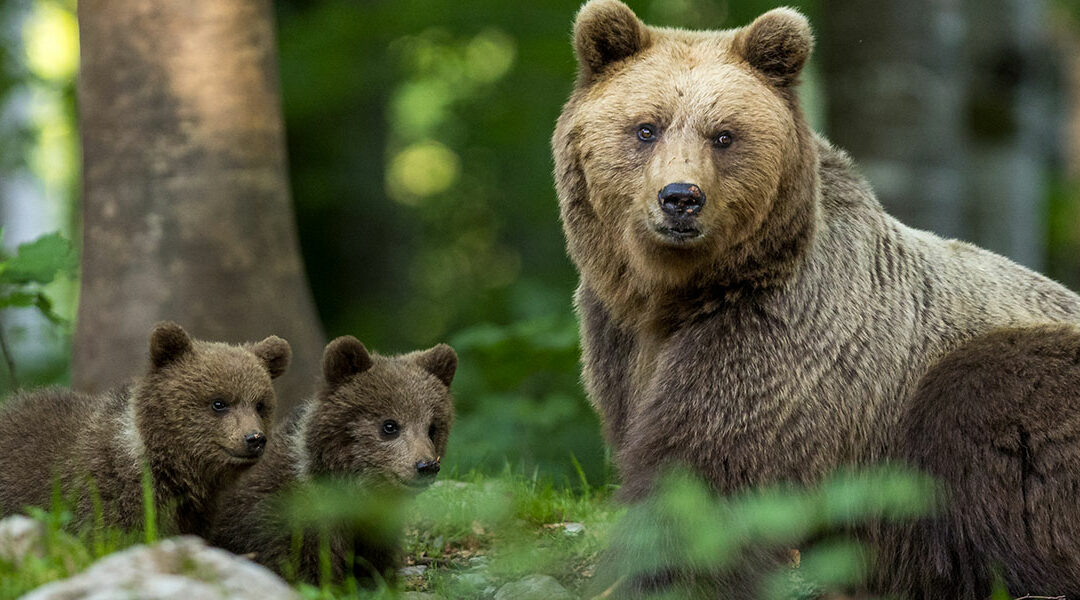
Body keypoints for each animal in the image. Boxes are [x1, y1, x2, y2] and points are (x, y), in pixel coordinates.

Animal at [557, 1, 1080, 595]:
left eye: (724, 135)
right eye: (646, 127)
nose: (681, 198)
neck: (681, 294)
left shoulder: (779, 338)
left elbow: (704, 477)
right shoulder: (617, 339)